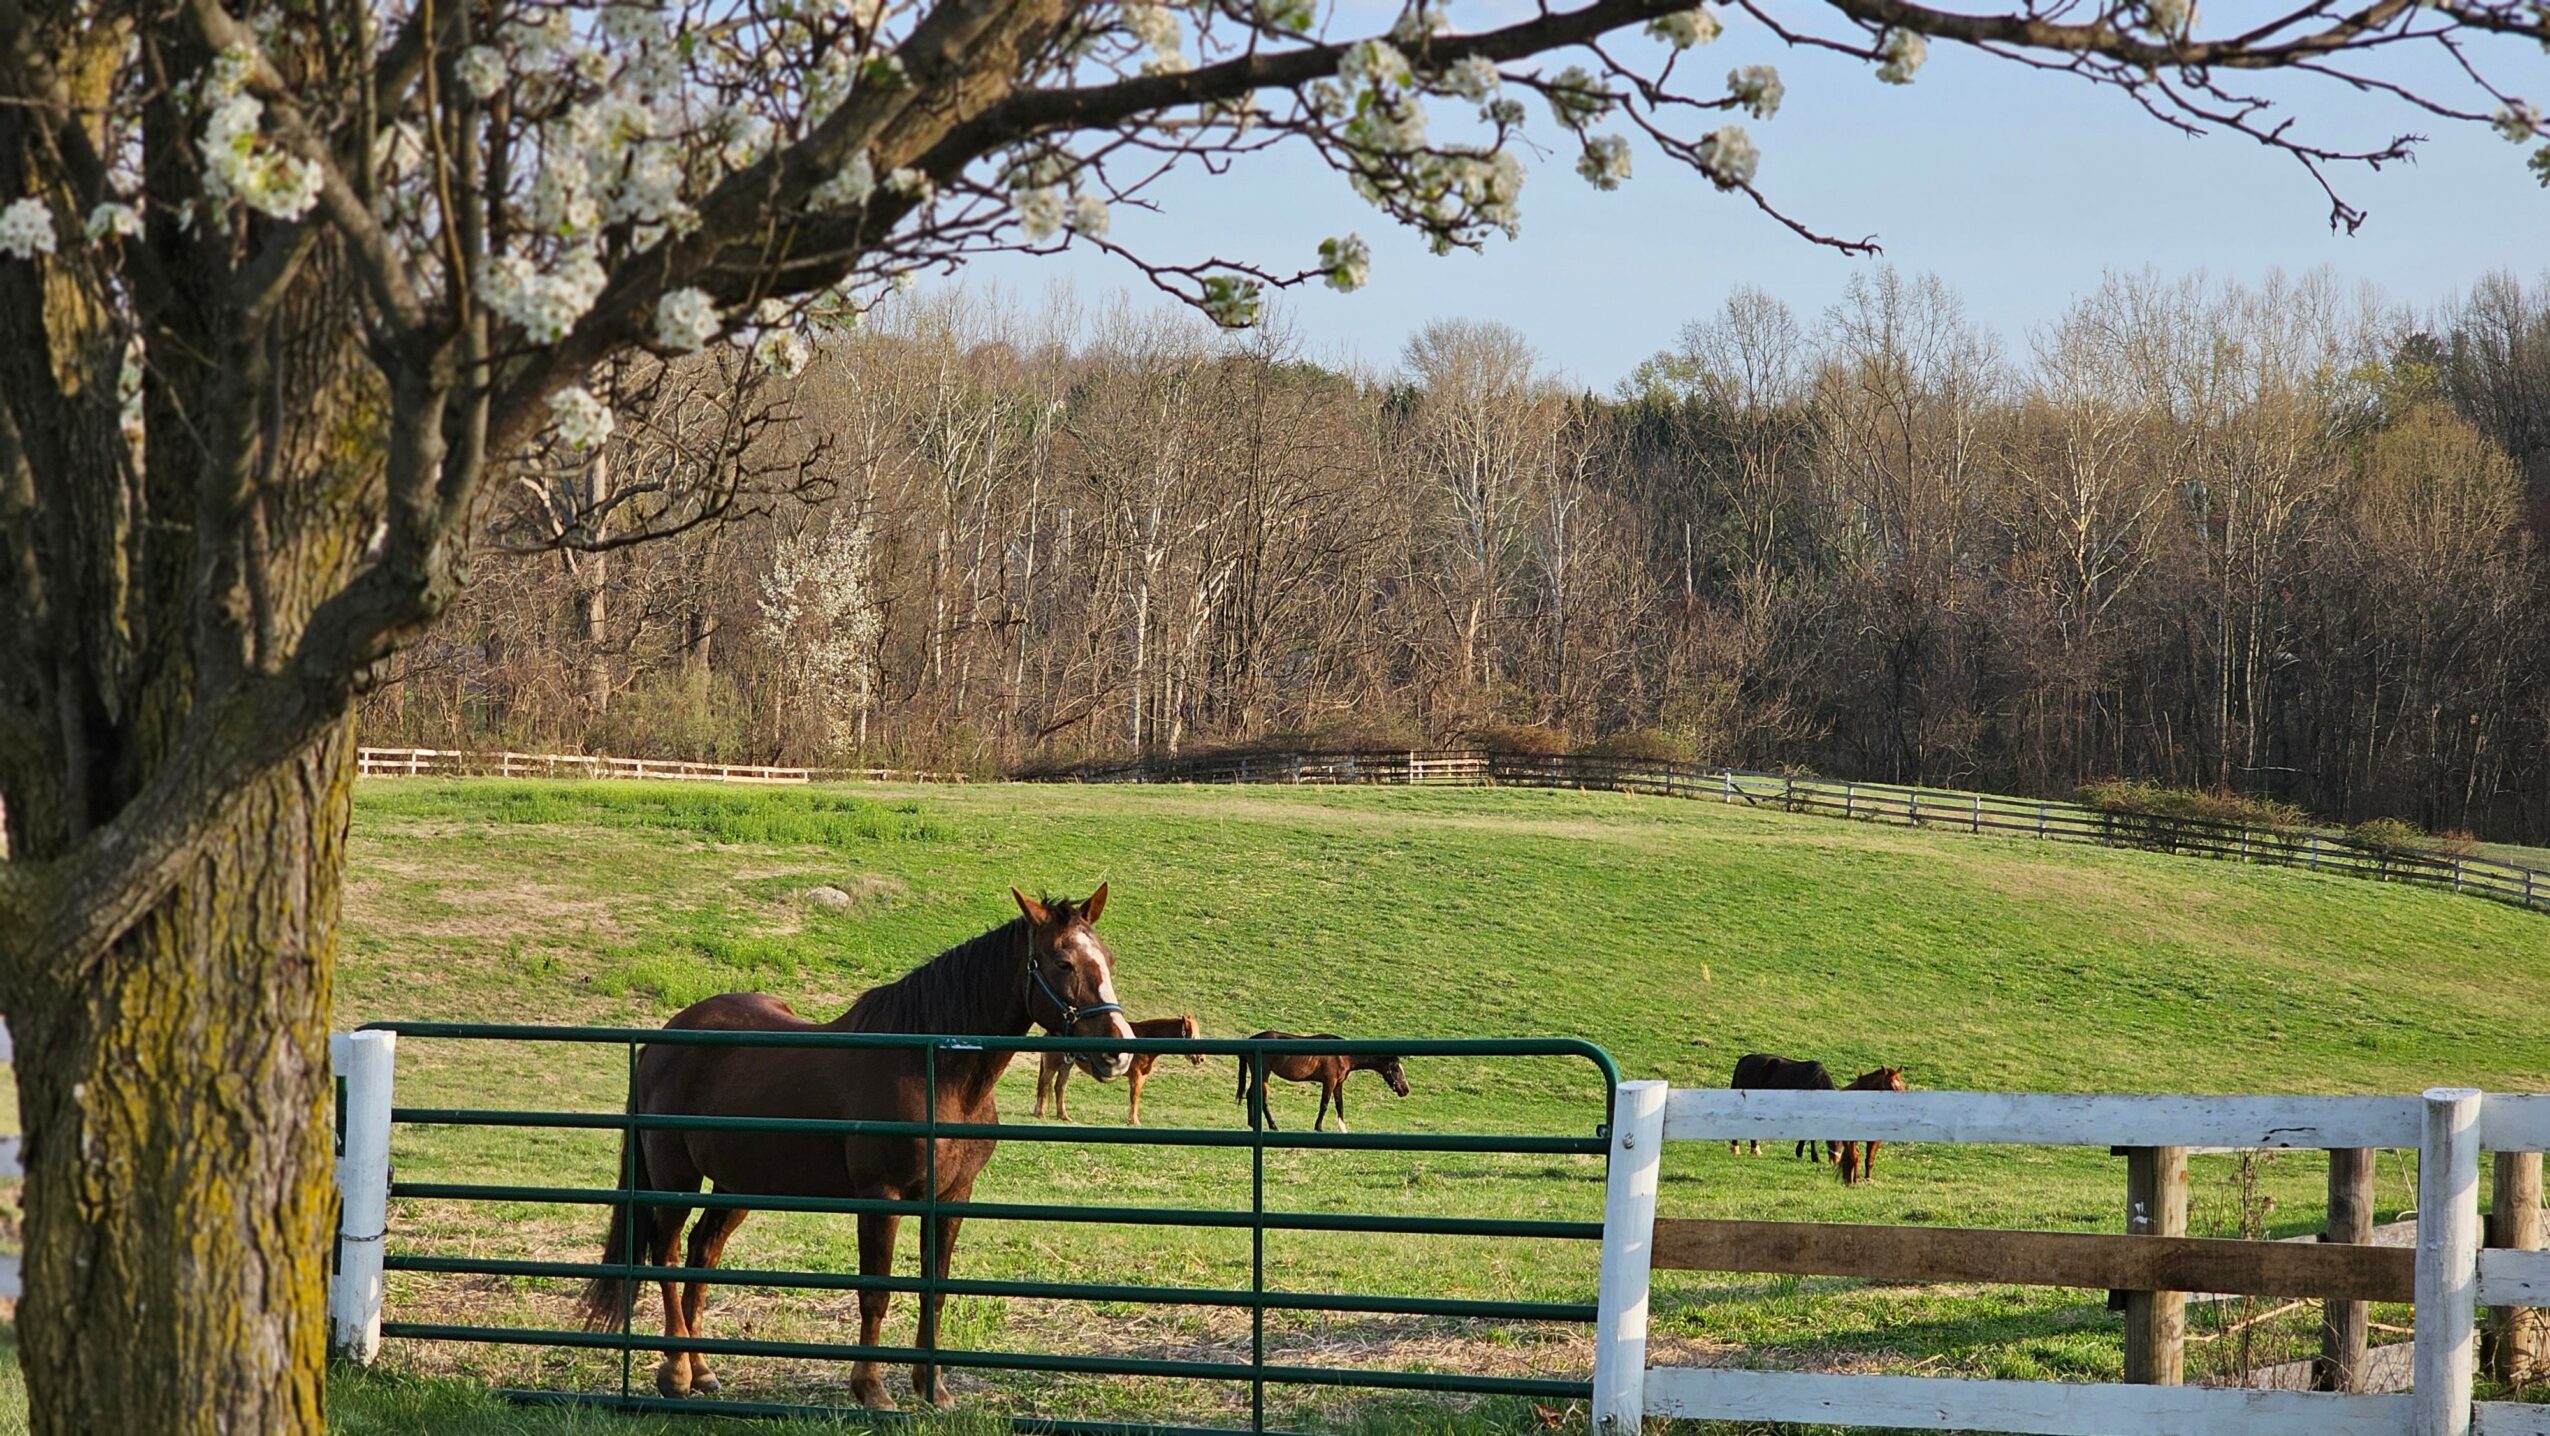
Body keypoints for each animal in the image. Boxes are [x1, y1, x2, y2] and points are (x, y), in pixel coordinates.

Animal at [575, 886, 1135, 1409]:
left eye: (1107, 958)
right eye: (1063, 962)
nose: (1118, 1051)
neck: (934, 1072)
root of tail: (662, 1039)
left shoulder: (953, 1198)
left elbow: (936, 1291)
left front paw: (932, 1389)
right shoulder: (880, 1197)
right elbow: (875, 1293)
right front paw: (871, 1389)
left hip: (737, 1183)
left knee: (701, 1252)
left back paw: (703, 1370)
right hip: (676, 1179)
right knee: (667, 1254)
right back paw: (676, 1373)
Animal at [1034, 1014, 1202, 1124]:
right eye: (1193, 1035)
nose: (1200, 1058)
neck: (1144, 1038)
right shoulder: (1136, 1076)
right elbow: (1134, 1097)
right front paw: (1133, 1121)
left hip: (1066, 1065)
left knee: (1059, 1087)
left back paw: (1063, 1116)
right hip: (1053, 1066)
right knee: (1044, 1084)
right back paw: (1039, 1113)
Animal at [1233, 1031, 1409, 1131]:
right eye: (1395, 1068)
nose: (1405, 1089)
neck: (1343, 1055)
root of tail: (1251, 1039)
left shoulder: (1338, 1084)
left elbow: (1339, 1105)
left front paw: (1343, 1128)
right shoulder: (1329, 1082)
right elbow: (1324, 1104)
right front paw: (1318, 1127)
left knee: (1250, 1094)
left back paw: (1252, 1123)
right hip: (1264, 1074)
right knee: (1260, 1098)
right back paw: (1272, 1125)